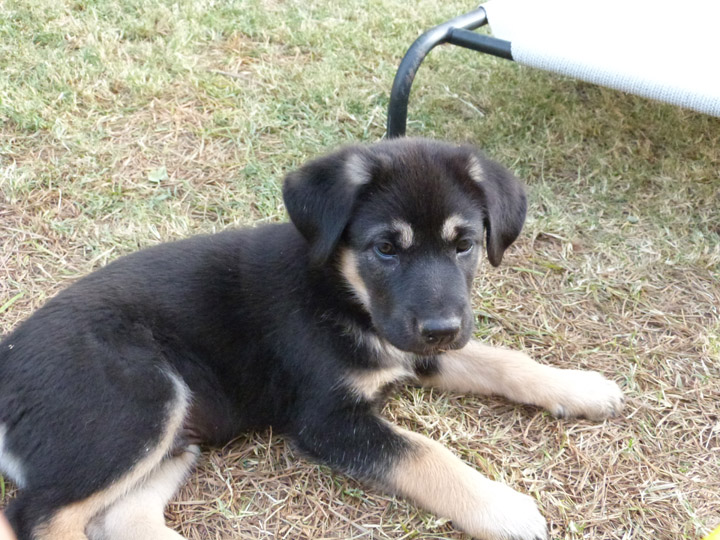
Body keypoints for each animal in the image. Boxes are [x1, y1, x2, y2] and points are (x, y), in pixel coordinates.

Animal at [0, 139, 620, 540]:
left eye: (463, 244)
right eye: (385, 249)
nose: (442, 329)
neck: (341, 292)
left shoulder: (411, 345)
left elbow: (503, 360)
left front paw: (582, 387)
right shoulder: (327, 420)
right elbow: (426, 453)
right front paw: (502, 507)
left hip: (179, 434)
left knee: (118, 517)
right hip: (141, 404)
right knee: (35, 517)